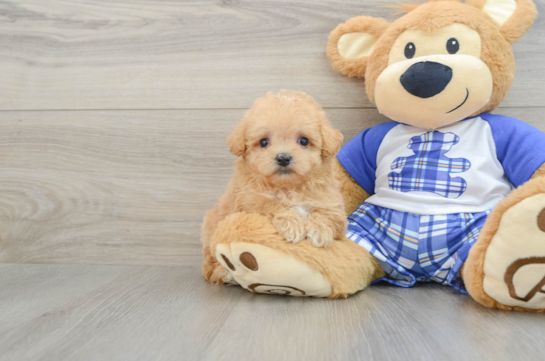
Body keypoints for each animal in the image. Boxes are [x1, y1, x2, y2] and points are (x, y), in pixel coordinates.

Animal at [202, 89, 346, 282]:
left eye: (303, 141)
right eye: (264, 142)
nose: (283, 158)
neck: (288, 187)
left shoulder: (333, 206)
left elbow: (327, 215)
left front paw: (319, 231)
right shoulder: (249, 200)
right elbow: (271, 204)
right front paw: (293, 225)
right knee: (209, 264)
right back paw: (224, 272)